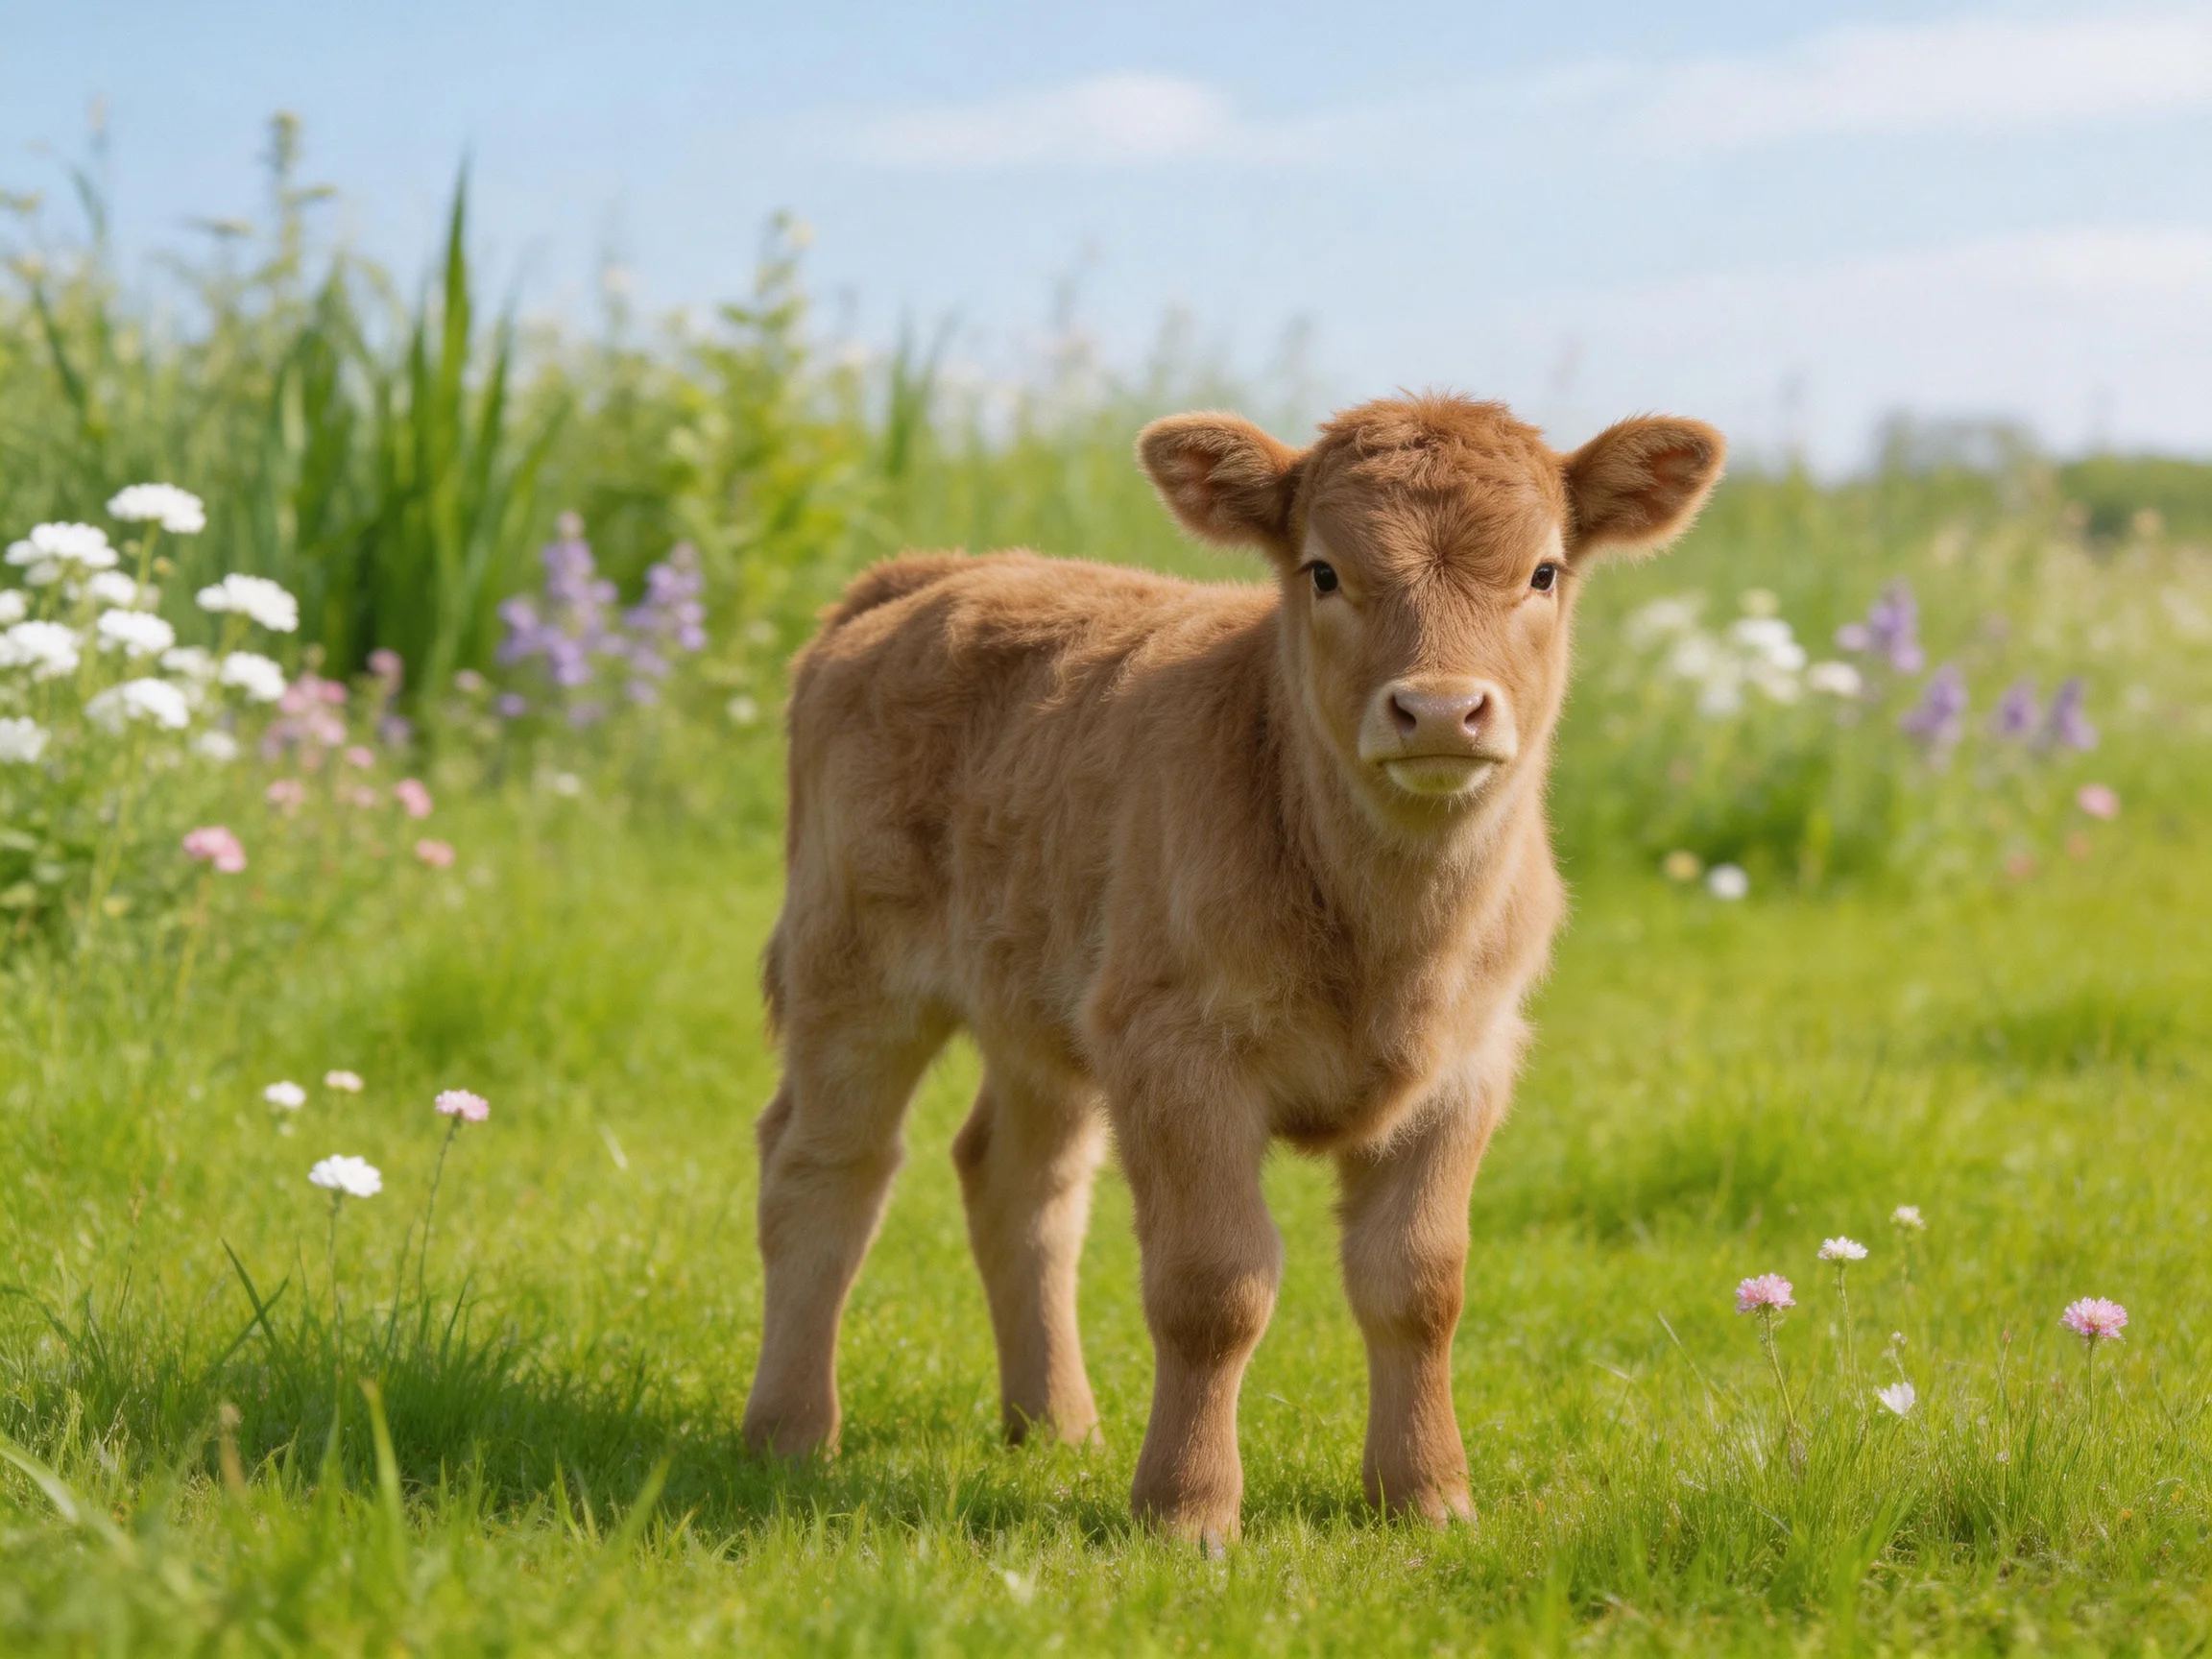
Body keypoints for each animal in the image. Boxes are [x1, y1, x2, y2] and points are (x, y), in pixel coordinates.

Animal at [742, 393, 1724, 1545]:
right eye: (1324, 571)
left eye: (1543, 571)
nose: (1440, 710)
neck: (1388, 935)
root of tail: (928, 574)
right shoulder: (1178, 1051)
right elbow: (1215, 1287)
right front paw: (1187, 1507)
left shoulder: (1468, 1064)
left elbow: (1419, 1283)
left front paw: (1427, 1494)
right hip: (851, 965)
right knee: (824, 1169)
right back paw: (790, 1431)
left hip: (1049, 1001)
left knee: (1020, 1182)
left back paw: (1056, 1423)